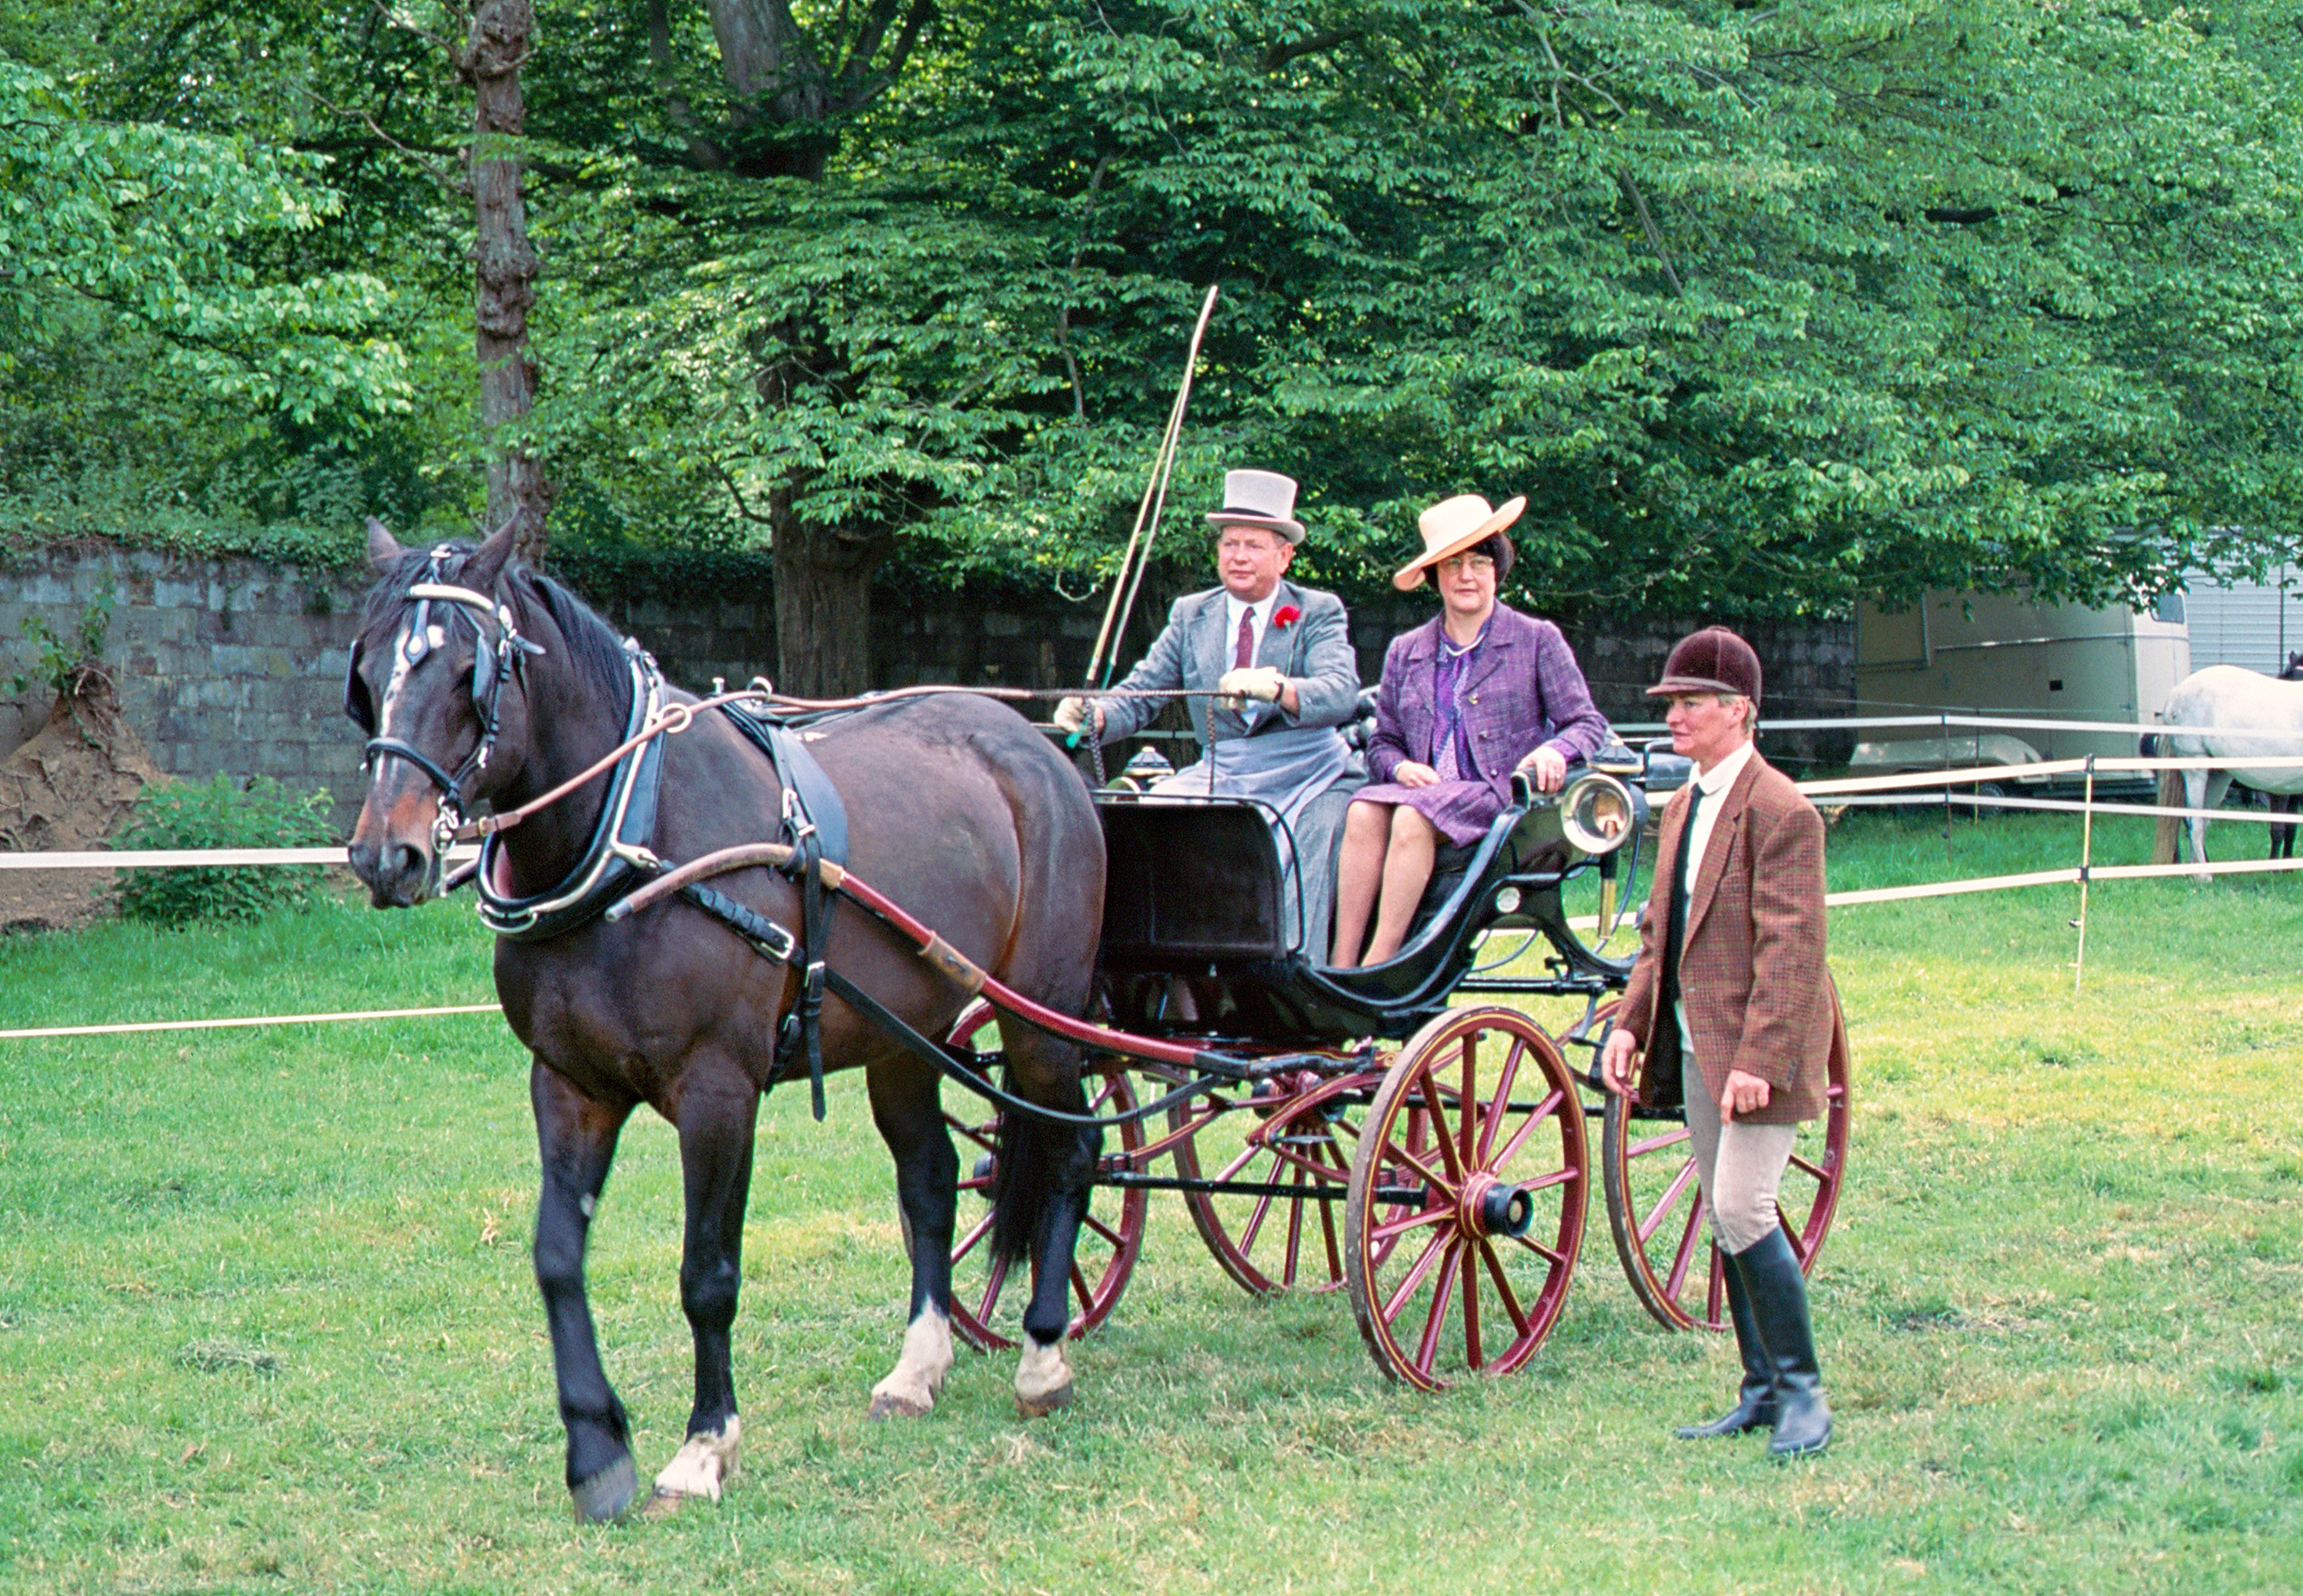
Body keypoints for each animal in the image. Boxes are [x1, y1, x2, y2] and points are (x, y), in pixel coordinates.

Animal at [336, 523, 1110, 1520]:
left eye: (472, 671)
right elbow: (556, 1257)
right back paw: (918, 1366)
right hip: (907, 1036)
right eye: (368, 673)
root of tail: (1038, 747)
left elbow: (708, 1274)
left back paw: (1045, 1352)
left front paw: (704, 1446)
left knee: (1071, 1150)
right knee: (932, 1180)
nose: (385, 855)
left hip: (1042, 1020)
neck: (631, 832)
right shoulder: (570, 1085)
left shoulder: (717, 1093)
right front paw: (596, 1451)